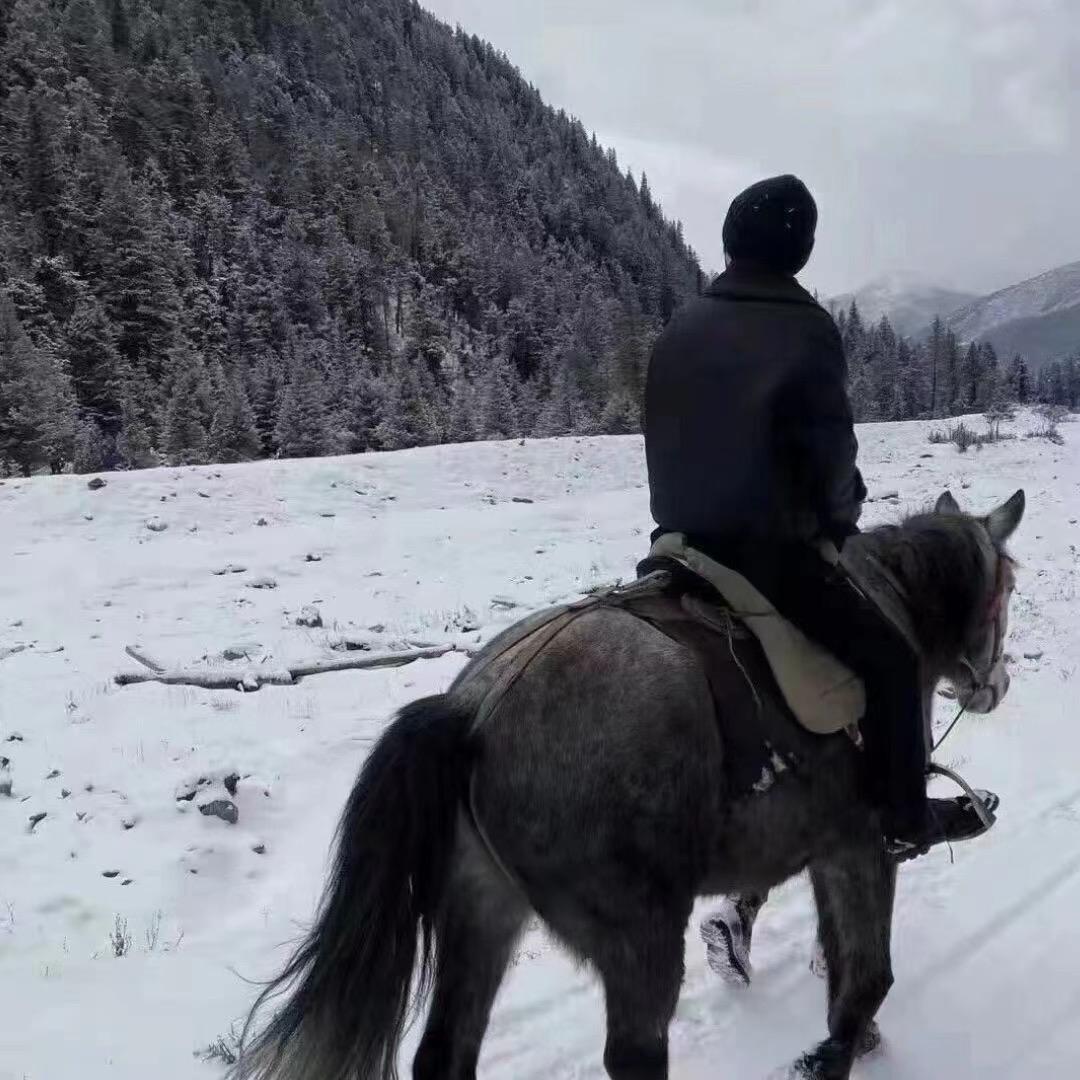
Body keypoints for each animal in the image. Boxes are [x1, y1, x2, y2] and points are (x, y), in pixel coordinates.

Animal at [232, 488, 1025, 1080]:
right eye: (1008, 587)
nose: (995, 687)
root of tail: (475, 710)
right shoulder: (861, 845)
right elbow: (865, 978)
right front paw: (840, 1049)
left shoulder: (817, 842)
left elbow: (823, 950)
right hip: (637, 935)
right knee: (634, 1056)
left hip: (480, 908)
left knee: (444, 1055)